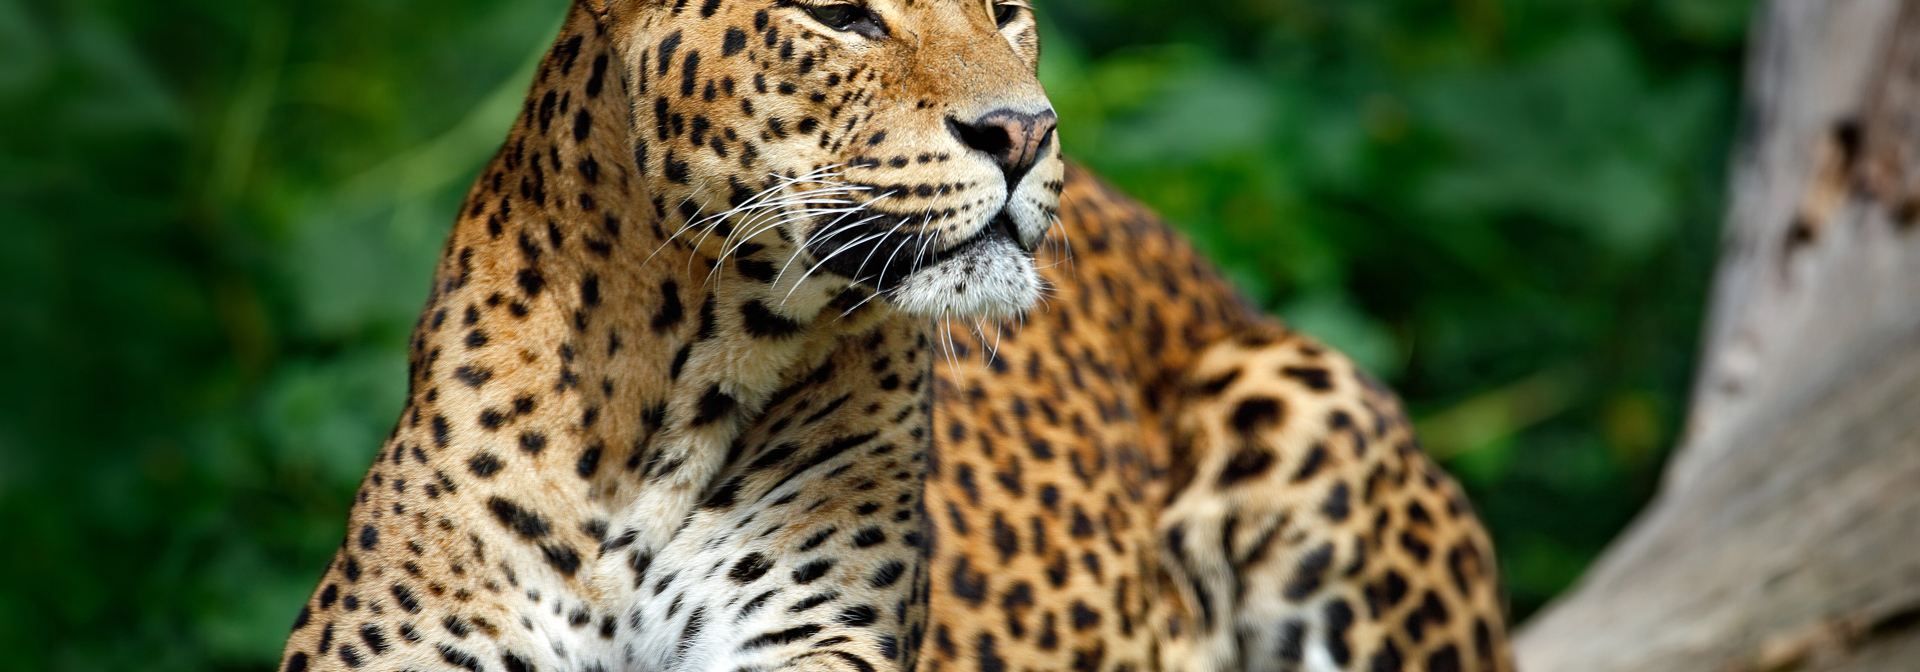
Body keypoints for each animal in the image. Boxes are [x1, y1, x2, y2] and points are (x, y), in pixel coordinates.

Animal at [280, 1, 1512, 672]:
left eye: (1006, 8)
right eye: (839, 15)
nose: (1026, 130)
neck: (654, 399)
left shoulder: (819, 636)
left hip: (1301, 394)